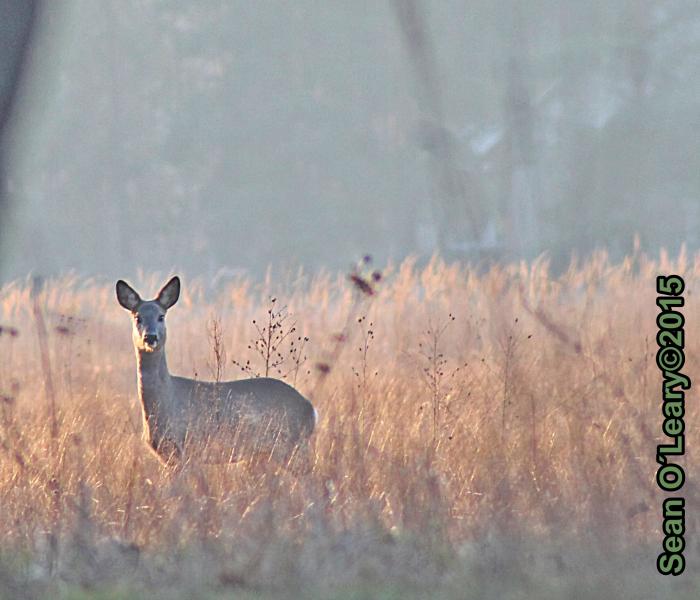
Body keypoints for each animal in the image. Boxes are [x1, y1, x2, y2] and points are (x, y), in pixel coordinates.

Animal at [115, 276, 318, 468]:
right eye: (138, 317)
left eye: (161, 316)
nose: (150, 337)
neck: (167, 400)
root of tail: (311, 410)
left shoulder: (188, 449)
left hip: (291, 448)